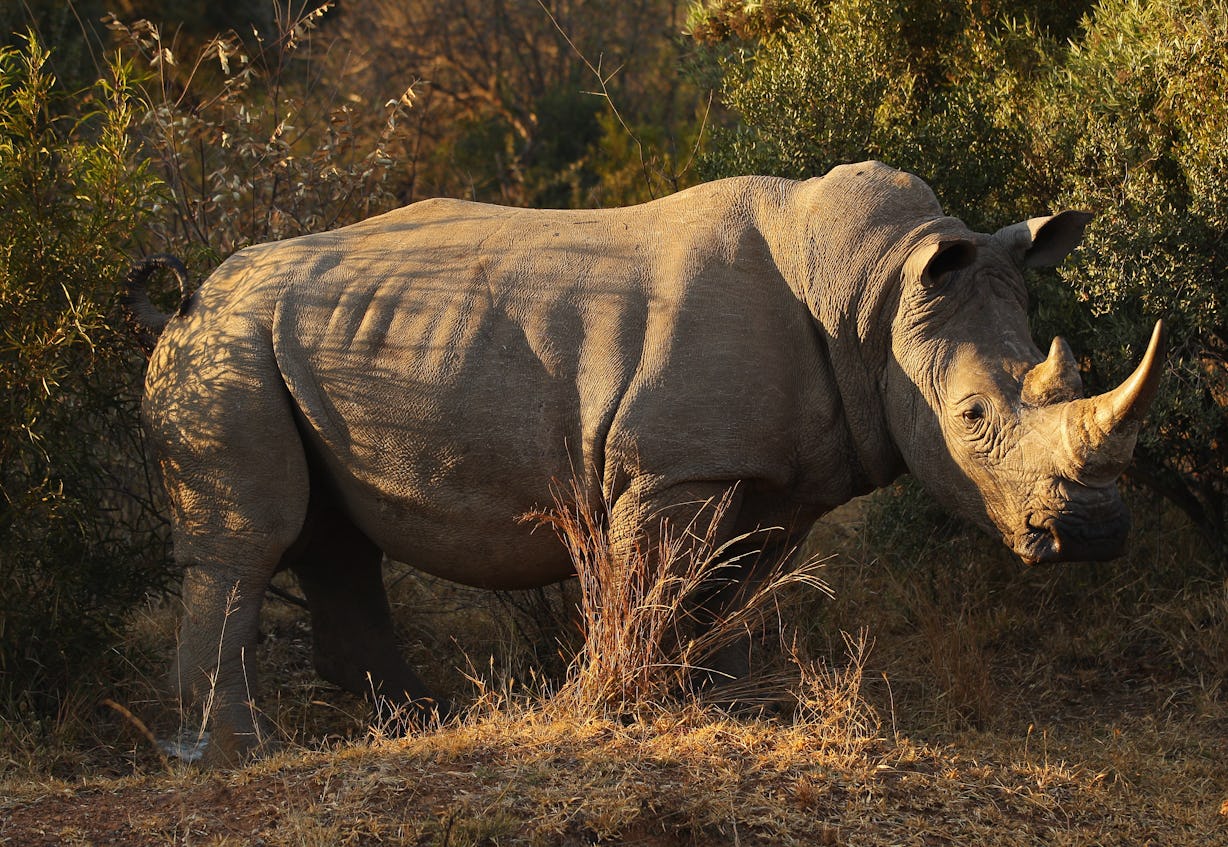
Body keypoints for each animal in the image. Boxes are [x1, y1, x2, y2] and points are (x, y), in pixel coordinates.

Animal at [123, 161, 1163, 765]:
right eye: (973, 416)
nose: (1096, 532)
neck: (871, 291)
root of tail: (189, 295)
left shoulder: (780, 478)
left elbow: (741, 586)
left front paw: (741, 708)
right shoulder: (674, 470)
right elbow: (649, 581)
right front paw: (607, 705)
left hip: (296, 336)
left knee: (336, 539)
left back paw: (411, 720)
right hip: (226, 344)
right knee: (248, 543)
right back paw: (235, 754)